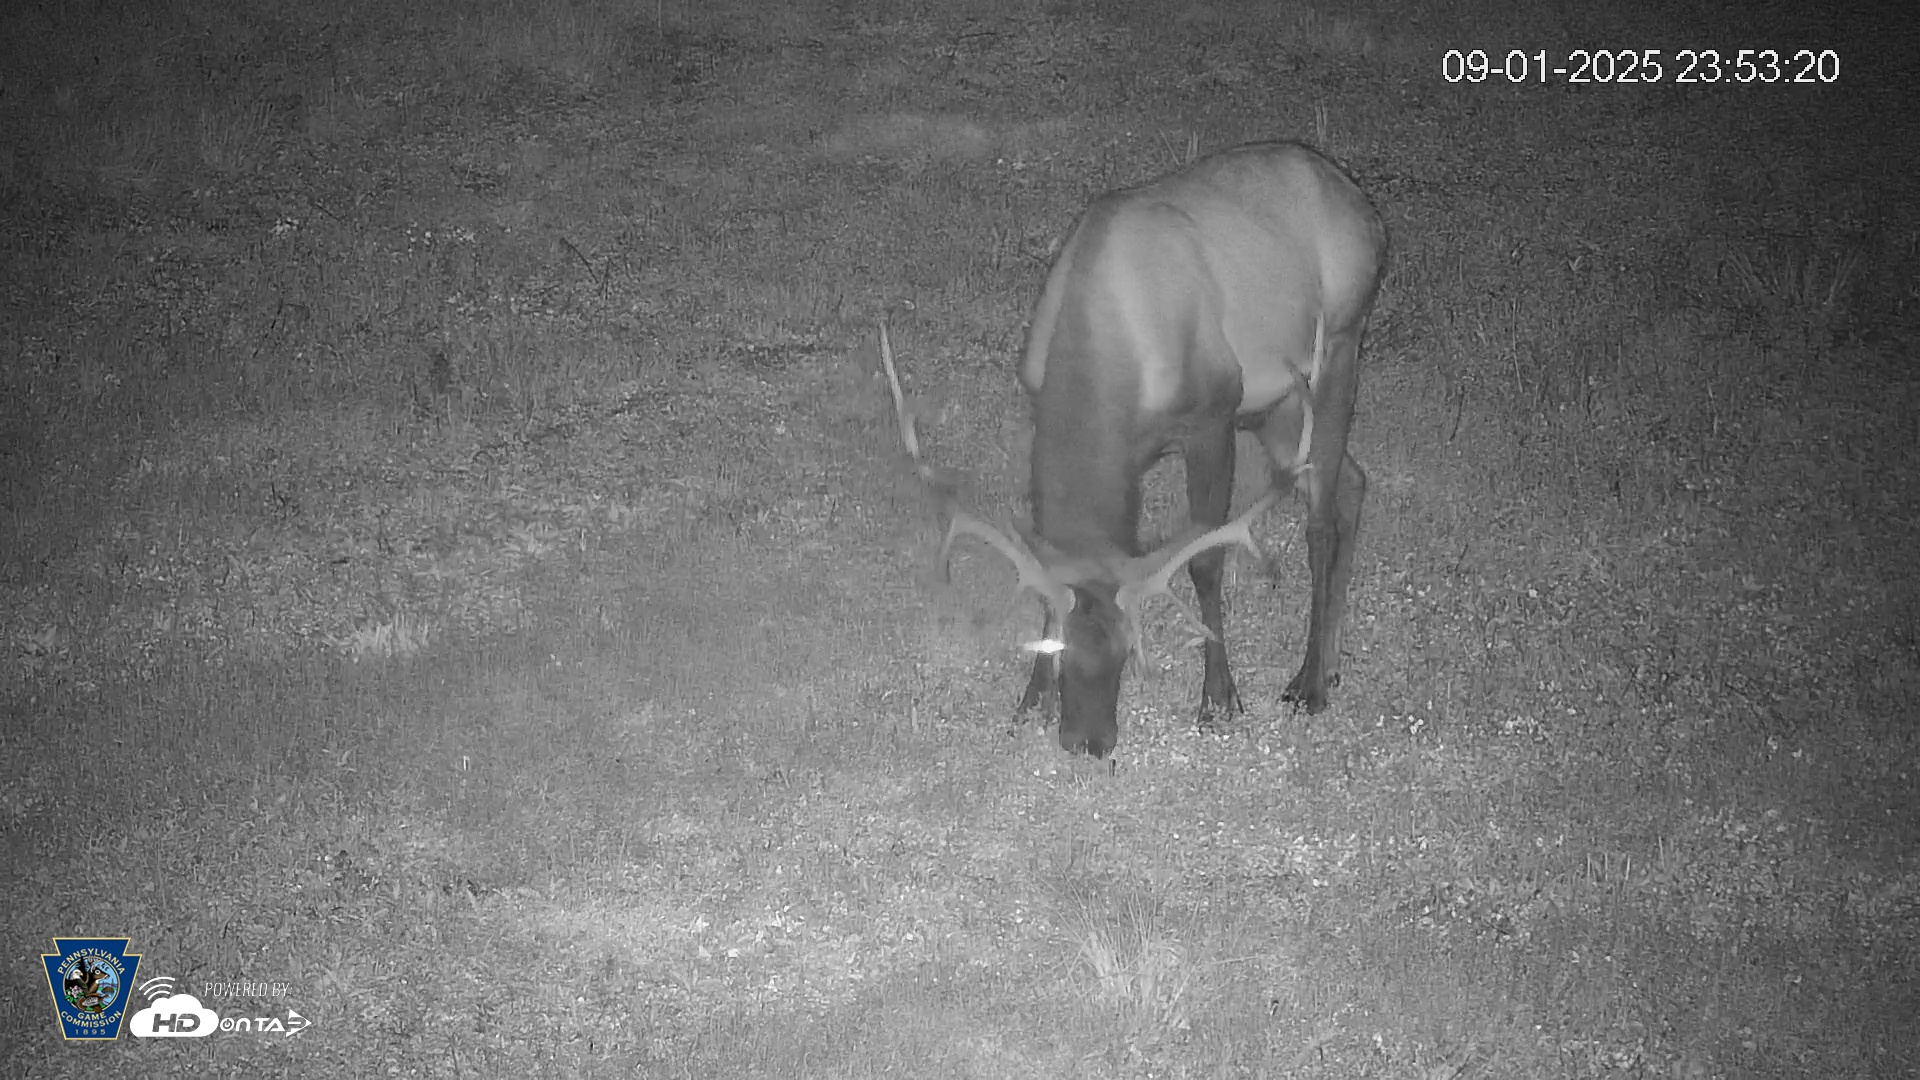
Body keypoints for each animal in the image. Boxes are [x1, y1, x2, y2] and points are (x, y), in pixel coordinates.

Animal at [887, 141, 1386, 758]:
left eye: (1130, 650)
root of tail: (1365, 210)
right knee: (1352, 483)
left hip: (1340, 342)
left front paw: (1219, 700)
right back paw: (1333, 664)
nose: (1086, 741)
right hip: (1279, 403)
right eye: (1057, 647)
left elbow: (1205, 560)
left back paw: (1310, 683)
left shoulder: (1213, 415)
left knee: (1320, 519)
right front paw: (1029, 703)